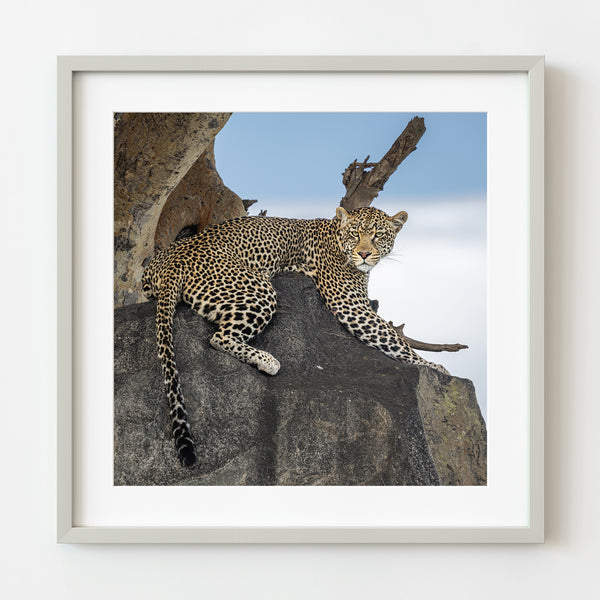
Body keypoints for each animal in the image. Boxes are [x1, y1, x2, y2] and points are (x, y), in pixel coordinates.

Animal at [143, 206, 448, 468]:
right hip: (261, 291)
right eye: (355, 234)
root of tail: (174, 262)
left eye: (378, 235)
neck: (337, 236)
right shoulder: (350, 305)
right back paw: (267, 360)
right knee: (219, 338)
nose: (363, 254)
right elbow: (393, 339)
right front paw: (434, 367)